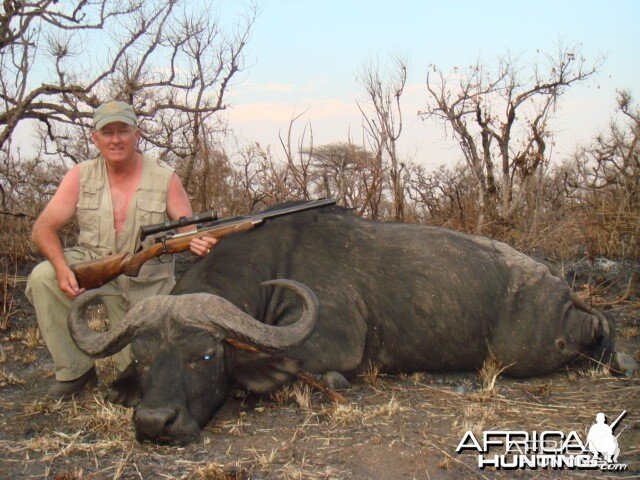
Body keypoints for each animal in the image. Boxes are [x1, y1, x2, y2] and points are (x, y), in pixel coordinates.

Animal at [69, 202, 632, 442]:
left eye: (205, 356)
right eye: (144, 360)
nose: (154, 423)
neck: (273, 260)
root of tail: (553, 281)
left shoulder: (332, 343)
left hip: (528, 350)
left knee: (599, 323)